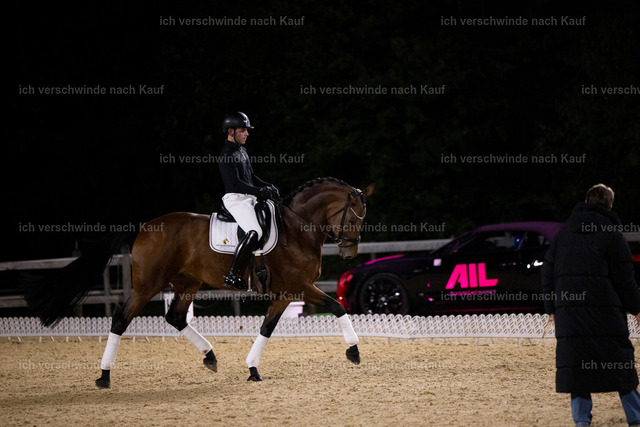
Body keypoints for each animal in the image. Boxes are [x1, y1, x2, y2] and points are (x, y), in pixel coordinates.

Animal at [25, 177, 373, 388]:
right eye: (353, 217)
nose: (350, 252)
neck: (297, 228)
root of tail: (144, 227)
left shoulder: (287, 294)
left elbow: (267, 328)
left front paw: (252, 369)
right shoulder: (298, 288)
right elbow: (337, 306)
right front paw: (354, 352)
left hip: (186, 283)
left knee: (176, 317)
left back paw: (210, 356)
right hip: (147, 286)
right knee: (121, 319)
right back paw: (104, 376)